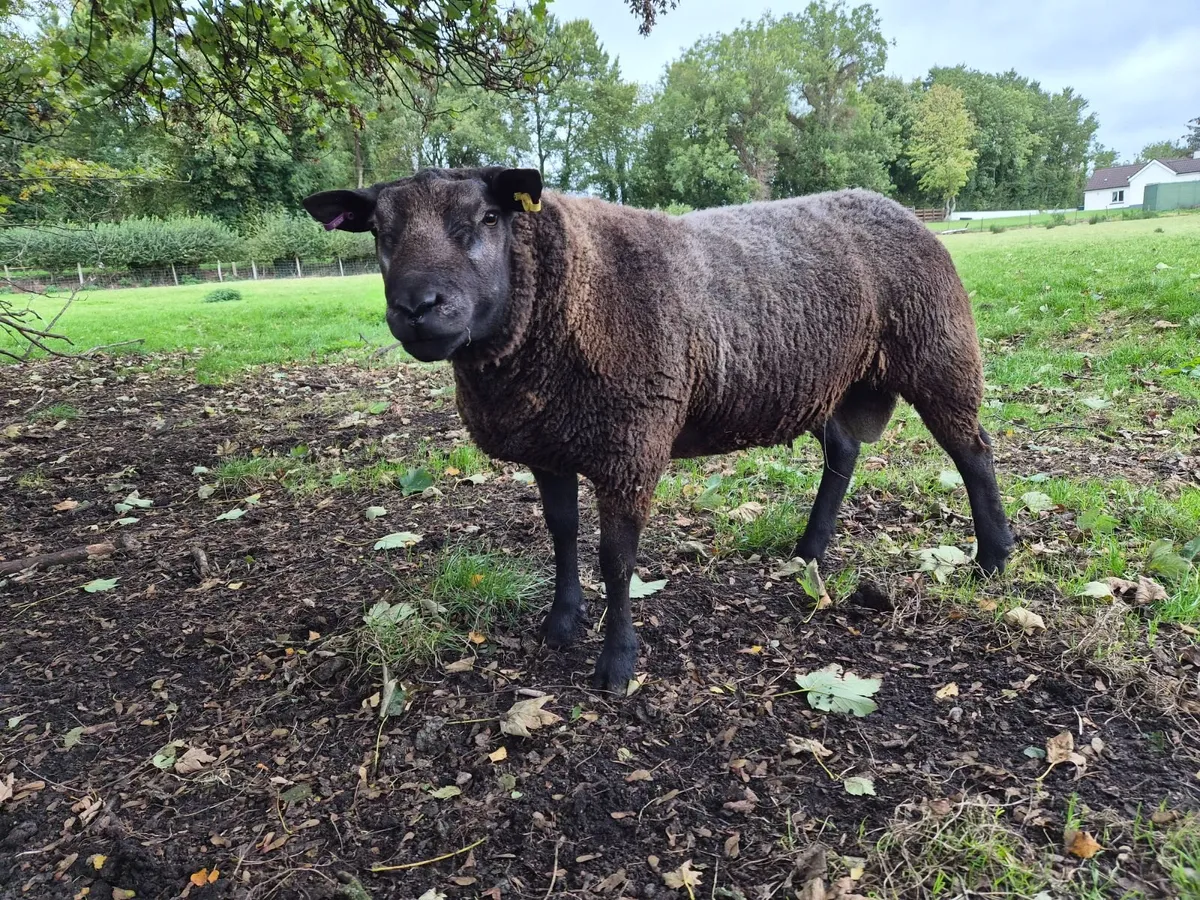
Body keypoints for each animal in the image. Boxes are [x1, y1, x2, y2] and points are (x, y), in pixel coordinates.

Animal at [302, 166, 1015, 693]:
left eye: (487, 218)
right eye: (379, 233)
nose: (418, 309)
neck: (572, 288)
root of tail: (899, 209)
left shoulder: (632, 443)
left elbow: (617, 560)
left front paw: (617, 663)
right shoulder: (550, 445)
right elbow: (562, 534)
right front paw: (562, 622)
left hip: (939, 352)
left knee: (973, 452)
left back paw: (993, 557)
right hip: (827, 382)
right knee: (842, 452)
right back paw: (810, 550)